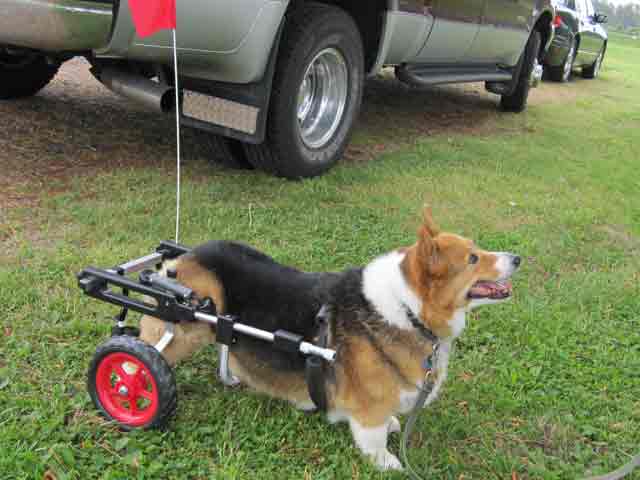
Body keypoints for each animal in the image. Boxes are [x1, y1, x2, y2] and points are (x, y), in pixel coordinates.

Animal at [140, 209, 520, 468]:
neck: (407, 308)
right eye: (473, 258)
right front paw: (388, 462)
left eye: (476, 249)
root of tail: (175, 262)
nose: (517, 258)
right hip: (183, 325)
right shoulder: (368, 410)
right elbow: (374, 438)